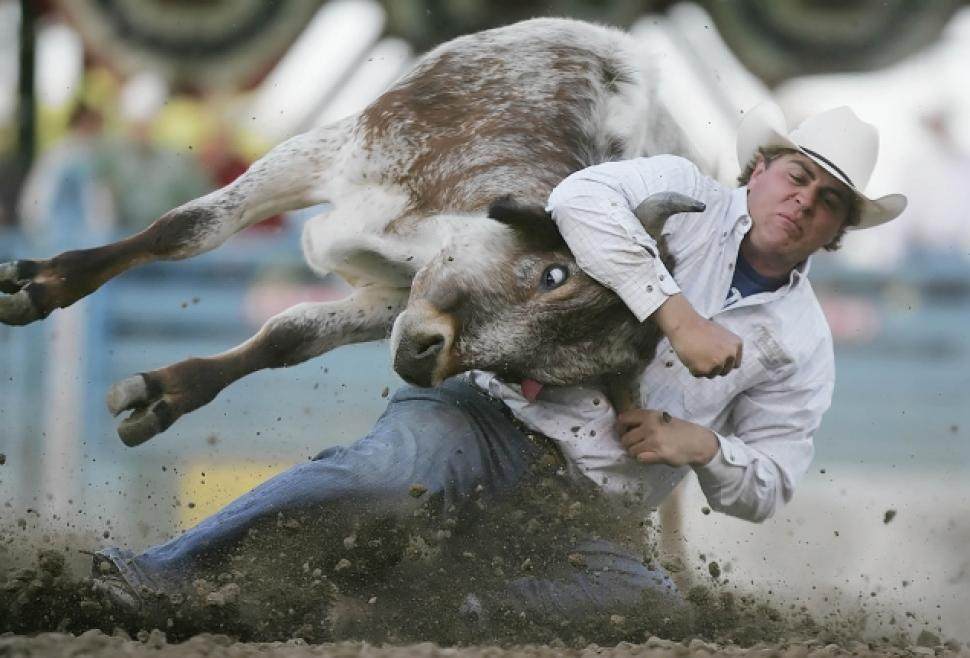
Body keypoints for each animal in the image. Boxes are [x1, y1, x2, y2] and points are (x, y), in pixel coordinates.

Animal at [0, 17, 702, 446]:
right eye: (551, 274)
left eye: (534, 378)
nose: (421, 361)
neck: (426, 227)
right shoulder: (329, 151)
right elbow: (188, 230)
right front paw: (44, 283)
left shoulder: (392, 301)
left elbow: (287, 337)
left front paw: (165, 393)